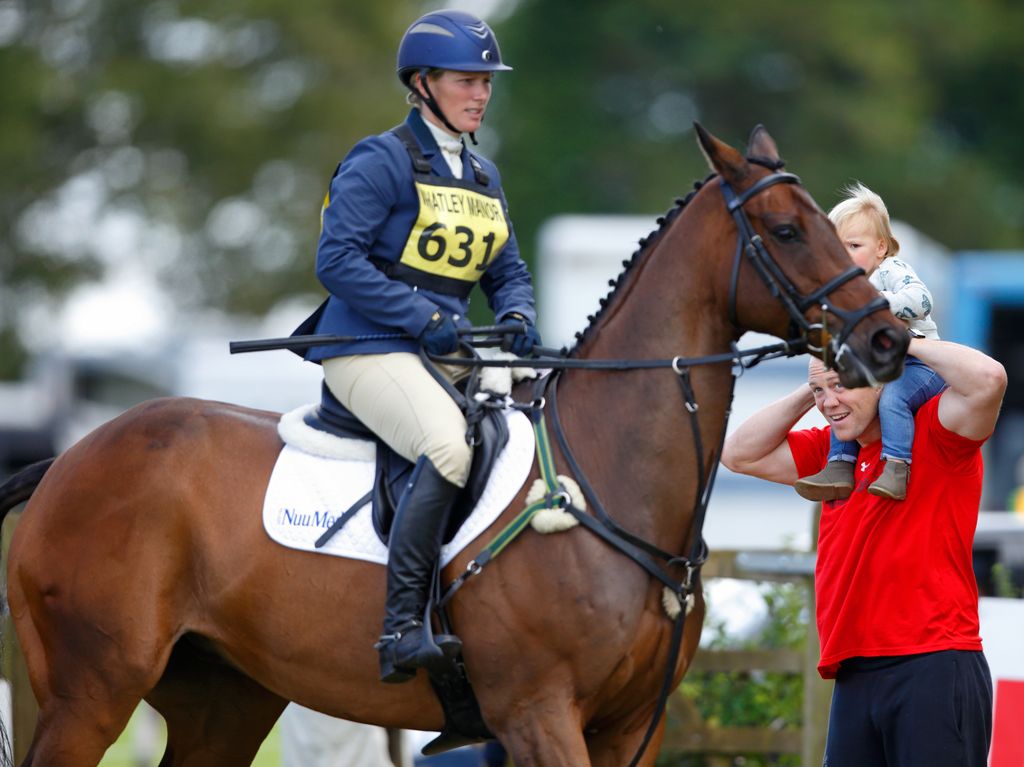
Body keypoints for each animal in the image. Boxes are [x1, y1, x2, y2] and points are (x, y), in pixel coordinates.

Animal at [0, 122, 905, 761]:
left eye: (832, 226)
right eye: (786, 230)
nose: (889, 338)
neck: (609, 479)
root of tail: (69, 458)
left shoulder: (625, 731)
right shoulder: (540, 716)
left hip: (222, 701)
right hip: (92, 691)